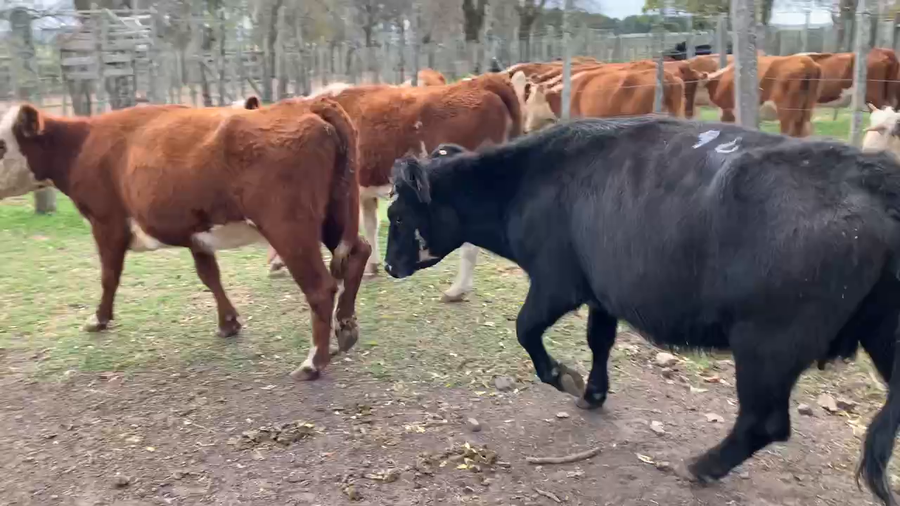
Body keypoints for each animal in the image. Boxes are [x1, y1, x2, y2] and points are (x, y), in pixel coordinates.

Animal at [0, 98, 371, 381]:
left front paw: (98, 319)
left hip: (289, 229)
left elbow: (109, 276)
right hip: (334, 216)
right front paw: (228, 323)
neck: (83, 143)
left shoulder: (107, 223)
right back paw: (346, 327)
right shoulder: (194, 233)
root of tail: (308, 104)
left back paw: (313, 363)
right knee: (358, 253)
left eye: (1, 145)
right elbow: (209, 276)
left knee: (320, 286)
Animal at [382, 116, 900, 506]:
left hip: (767, 346)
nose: (387, 265)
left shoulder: (556, 283)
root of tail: (874, 179)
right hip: (877, 338)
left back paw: (703, 465)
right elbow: (599, 340)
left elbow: (526, 330)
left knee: (765, 421)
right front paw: (592, 393)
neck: (528, 181)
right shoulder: (600, 293)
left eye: (398, 216)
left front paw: (564, 378)